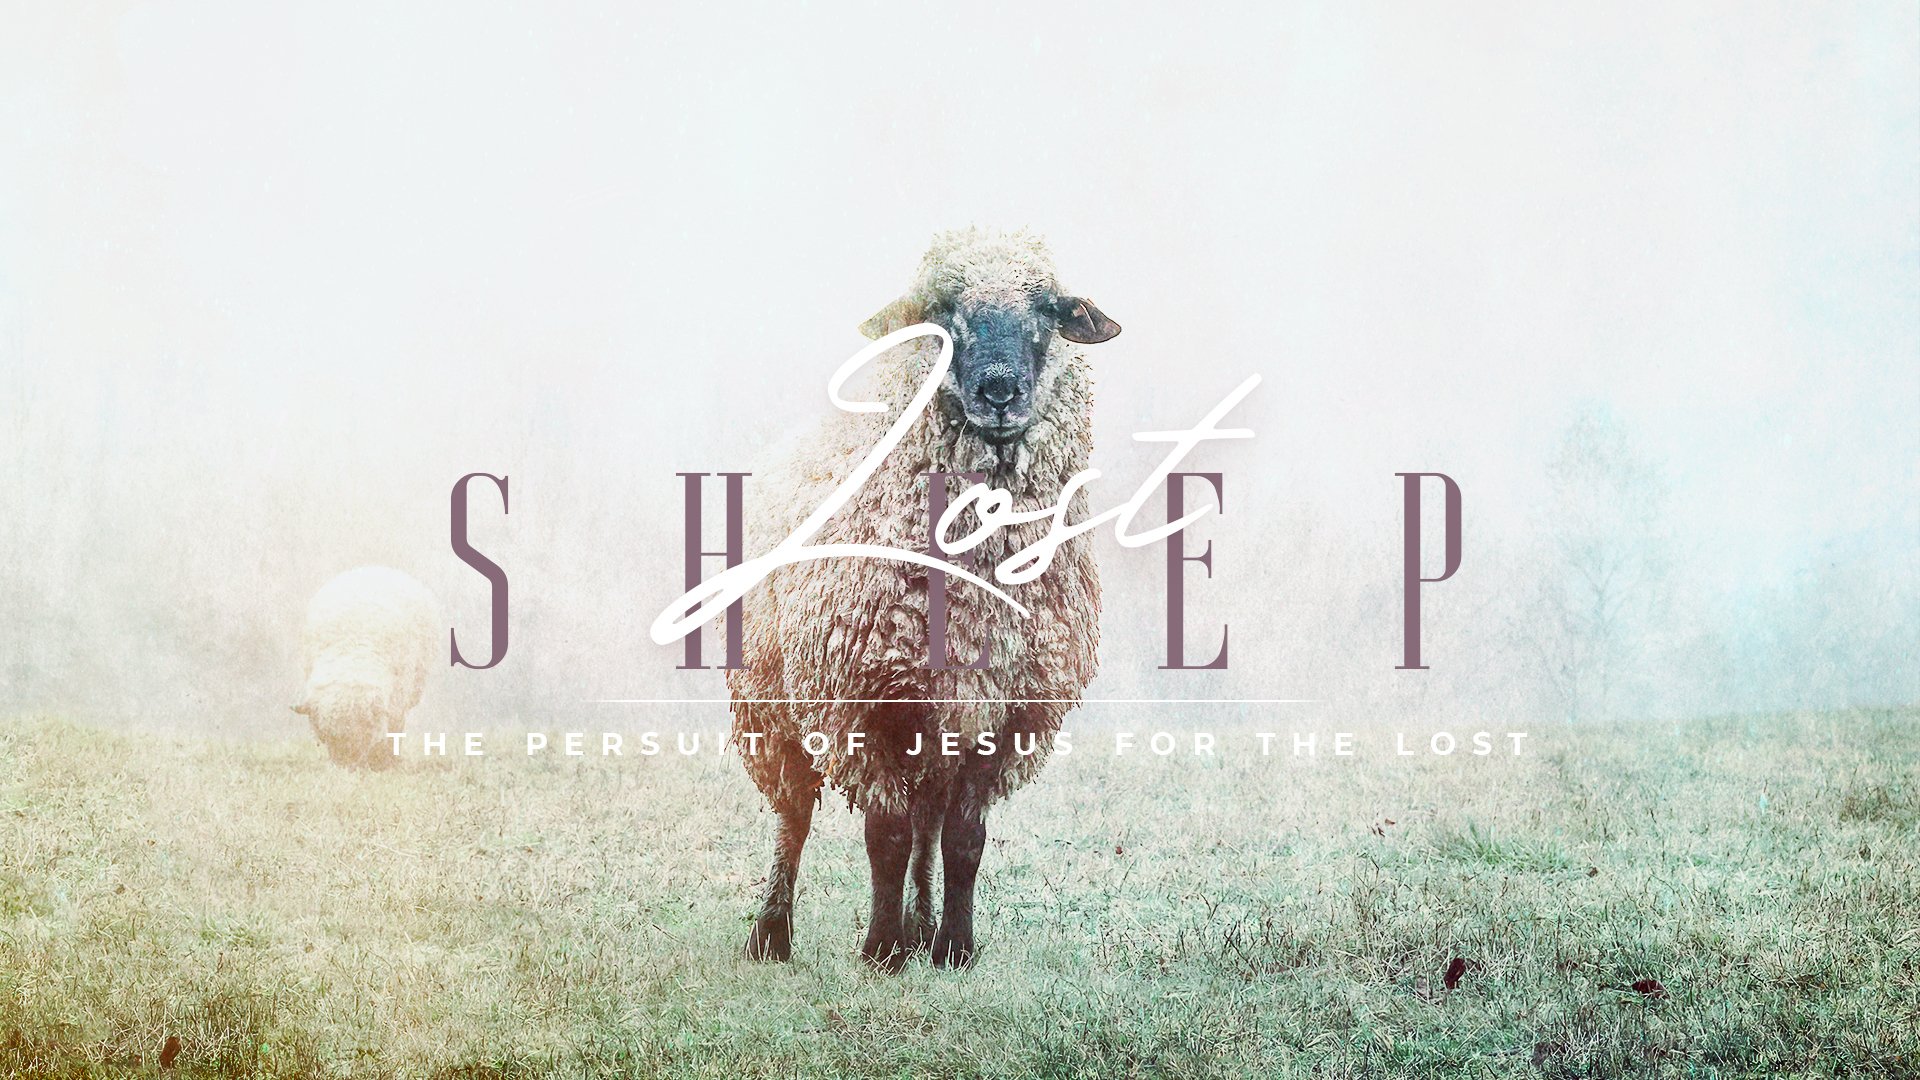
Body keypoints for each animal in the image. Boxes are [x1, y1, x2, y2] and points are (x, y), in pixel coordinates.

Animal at [293, 566, 438, 768]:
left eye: (363, 735)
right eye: (326, 736)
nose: (346, 767)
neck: (351, 651)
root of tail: (376, 567)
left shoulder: (397, 700)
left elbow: (392, 732)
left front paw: (385, 760)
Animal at [729, 227, 1120, 971]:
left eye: (1050, 308)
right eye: (939, 308)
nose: (999, 391)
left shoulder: (1003, 707)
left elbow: (963, 840)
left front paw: (954, 947)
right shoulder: (860, 697)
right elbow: (883, 834)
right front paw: (880, 950)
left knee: (928, 823)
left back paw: (922, 923)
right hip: (768, 703)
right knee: (795, 815)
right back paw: (773, 932)